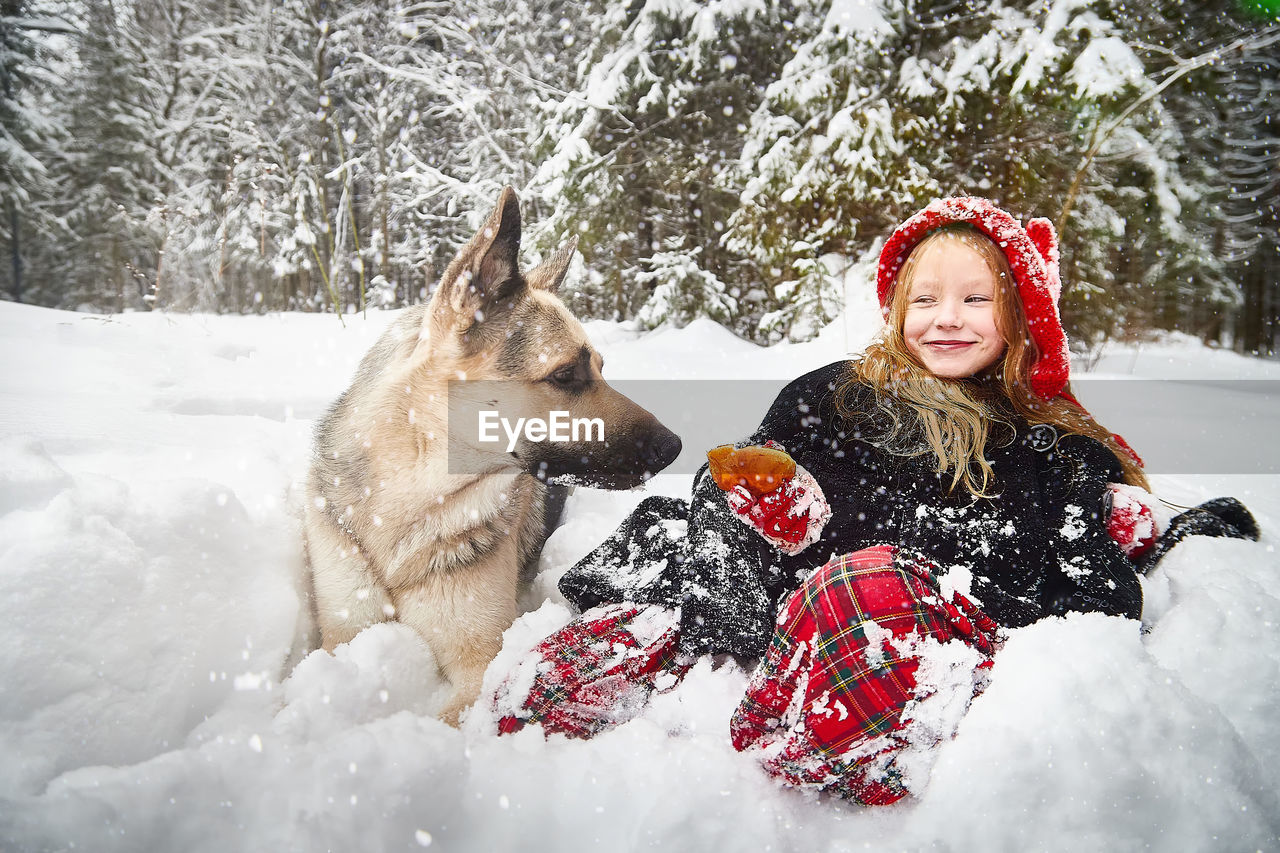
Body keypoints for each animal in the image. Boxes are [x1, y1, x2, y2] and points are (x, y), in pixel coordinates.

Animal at [302, 184, 680, 717]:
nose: (676, 446)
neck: (409, 504)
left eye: (603, 369)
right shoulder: (343, 637)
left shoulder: (479, 670)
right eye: (567, 374)